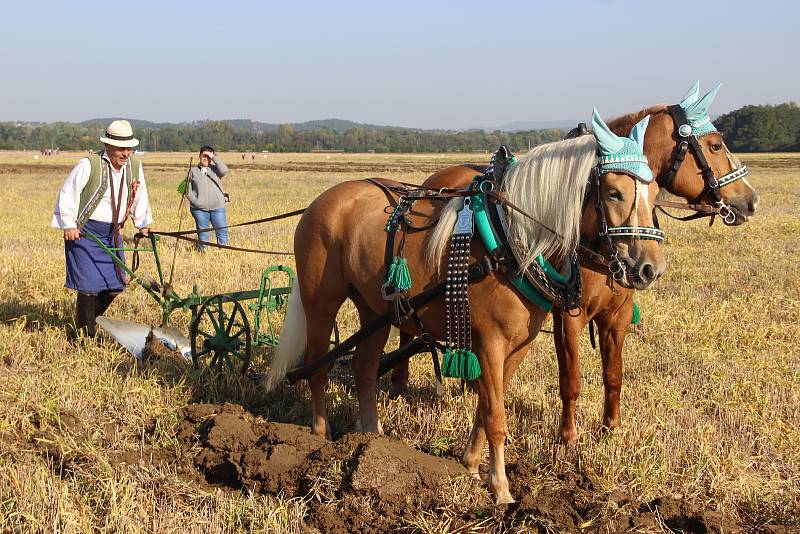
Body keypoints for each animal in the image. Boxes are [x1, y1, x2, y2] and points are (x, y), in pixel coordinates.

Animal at [268, 111, 664, 504]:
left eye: (655, 193)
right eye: (614, 192)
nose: (651, 269)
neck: (510, 240)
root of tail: (322, 201)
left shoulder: (516, 346)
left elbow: (485, 408)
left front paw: (472, 465)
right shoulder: (489, 343)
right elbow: (497, 418)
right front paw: (501, 489)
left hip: (374, 308)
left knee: (364, 368)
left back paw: (371, 438)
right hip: (321, 301)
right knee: (317, 366)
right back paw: (319, 438)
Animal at [390, 82, 760, 448]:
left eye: (651, 190)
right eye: (715, 145)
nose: (750, 201)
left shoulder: (617, 315)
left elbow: (613, 374)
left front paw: (611, 429)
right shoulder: (569, 316)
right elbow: (571, 380)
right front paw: (567, 438)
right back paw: (398, 384)